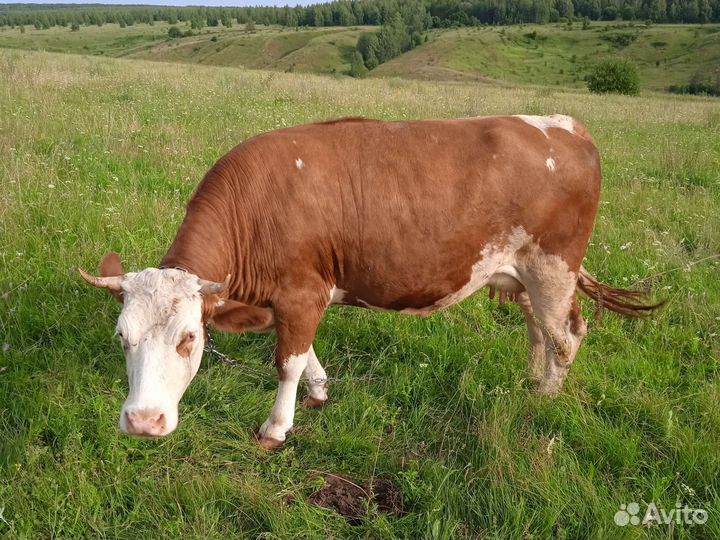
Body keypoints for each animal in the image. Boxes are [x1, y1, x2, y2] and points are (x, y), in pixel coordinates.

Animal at [80, 115, 660, 448]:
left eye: (189, 339)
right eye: (122, 337)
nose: (143, 422)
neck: (258, 205)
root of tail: (566, 125)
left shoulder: (302, 291)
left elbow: (286, 360)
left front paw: (277, 428)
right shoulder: (295, 296)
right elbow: (301, 350)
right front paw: (318, 391)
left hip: (553, 267)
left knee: (566, 336)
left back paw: (544, 399)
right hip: (521, 275)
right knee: (539, 329)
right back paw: (531, 380)